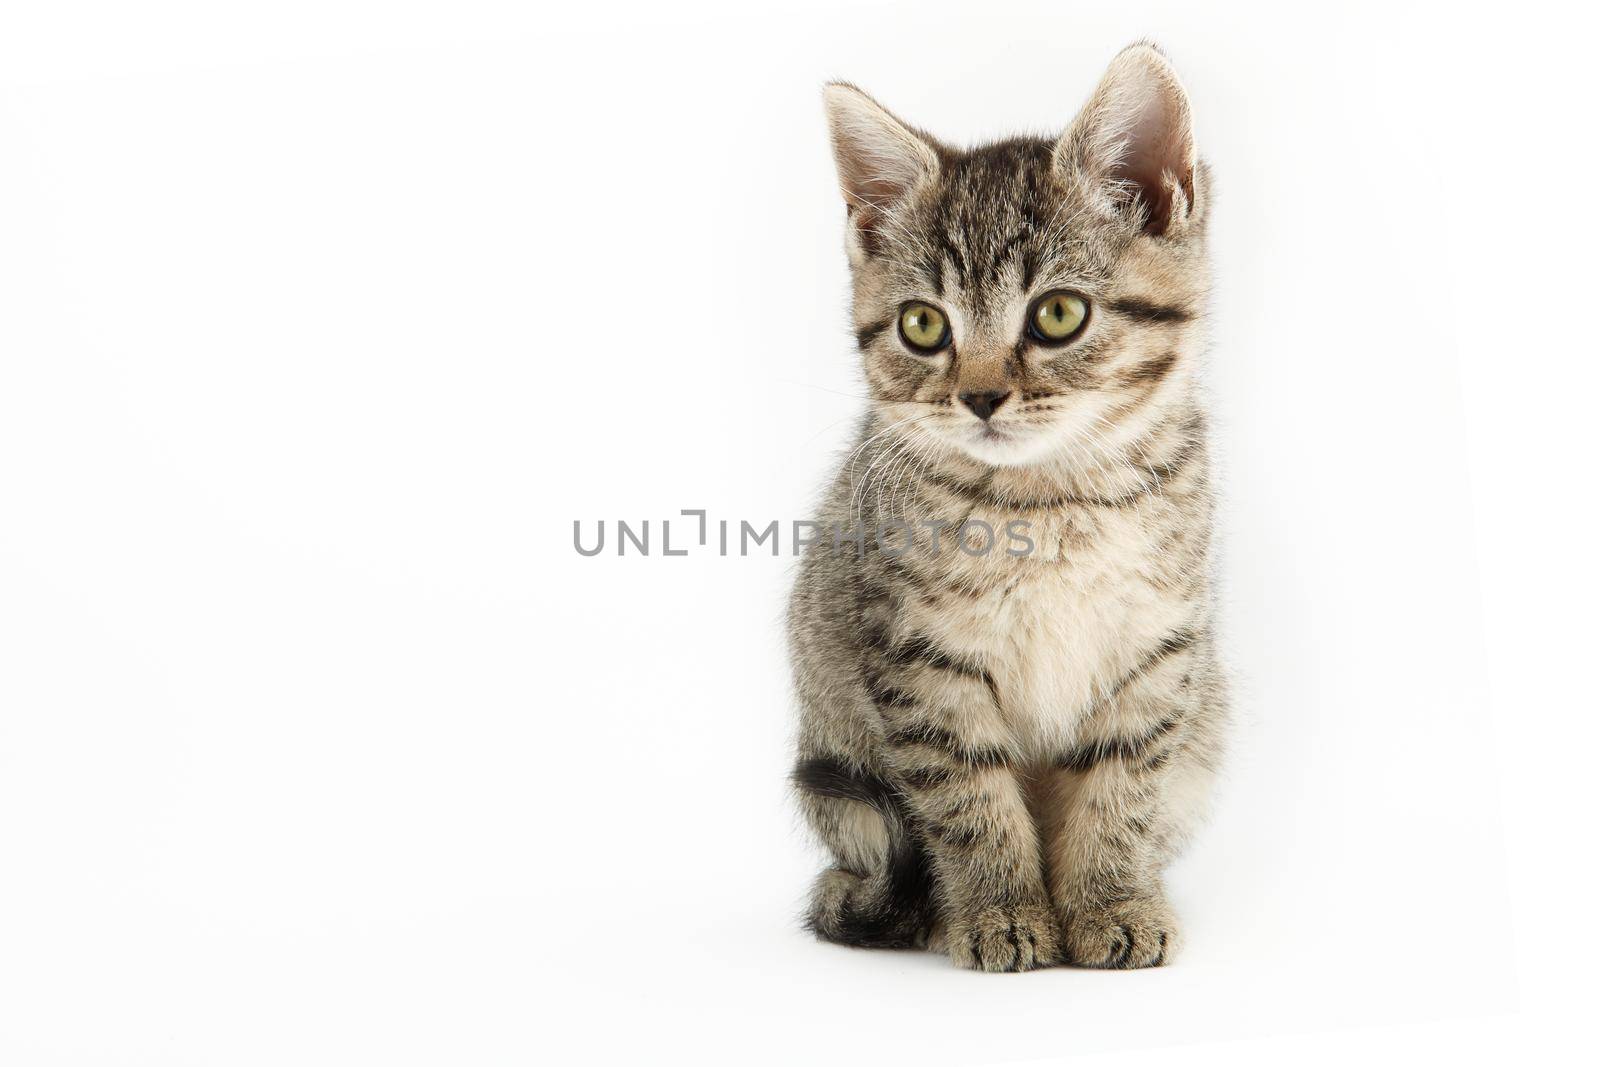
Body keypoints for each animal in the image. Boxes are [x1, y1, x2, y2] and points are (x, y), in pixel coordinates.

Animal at [787, 45, 1222, 972]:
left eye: (1058, 313)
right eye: (923, 326)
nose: (981, 396)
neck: (1048, 500)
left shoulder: (1155, 650)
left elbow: (1120, 790)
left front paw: (1110, 900)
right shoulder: (920, 661)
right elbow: (970, 800)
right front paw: (1001, 911)